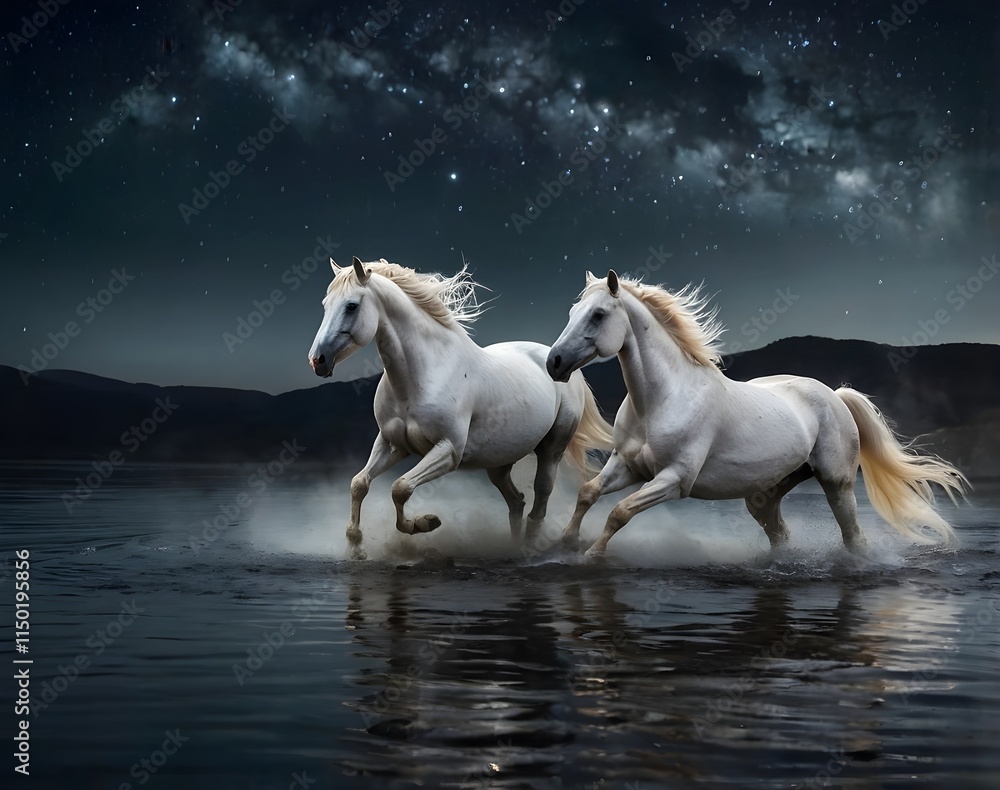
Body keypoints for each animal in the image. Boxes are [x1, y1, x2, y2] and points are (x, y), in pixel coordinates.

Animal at [308, 256, 613, 558]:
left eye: (351, 306)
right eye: (325, 304)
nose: (317, 360)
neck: (426, 372)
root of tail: (558, 361)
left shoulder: (448, 451)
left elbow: (400, 488)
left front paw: (425, 523)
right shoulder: (392, 443)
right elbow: (359, 483)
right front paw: (356, 546)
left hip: (551, 448)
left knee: (540, 496)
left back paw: (529, 549)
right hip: (499, 462)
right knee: (517, 501)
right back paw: (512, 548)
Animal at [545, 269, 968, 558]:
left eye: (599, 315)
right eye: (573, 310)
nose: (555, 362)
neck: (663, 400)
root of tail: (834, 394)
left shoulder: (674, 480)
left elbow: (619, 511)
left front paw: (592, 555)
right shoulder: (628, 465)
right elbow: (588, 493)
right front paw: (564, 543)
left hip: (838, 483)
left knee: (853, 537)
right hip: (769, 490)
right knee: (778, 532)